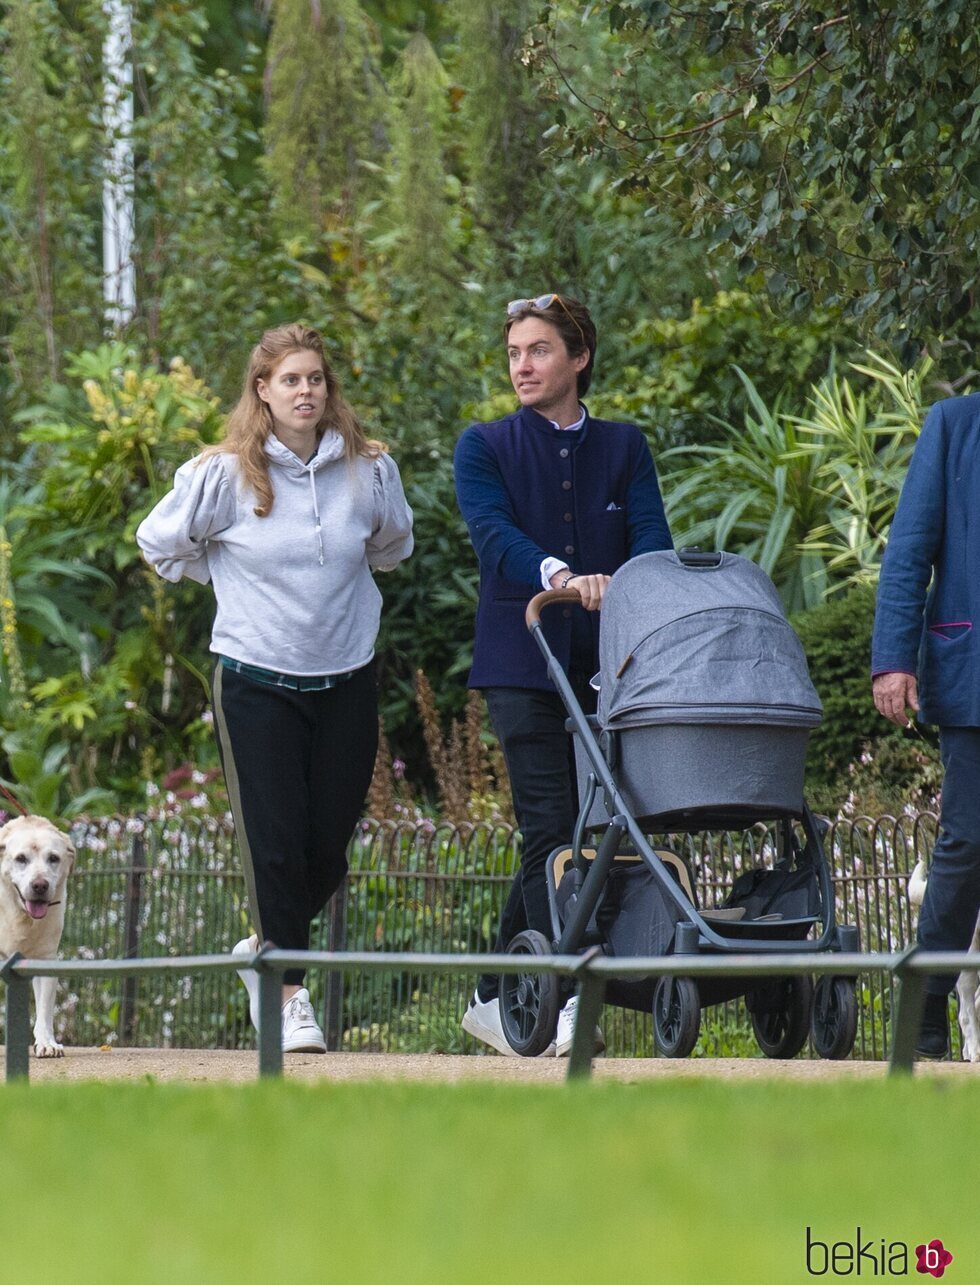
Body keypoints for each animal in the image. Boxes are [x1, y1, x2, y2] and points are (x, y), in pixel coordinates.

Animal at [0, 812, 75, 1053]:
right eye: (21, 858)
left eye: (53, 858)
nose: (40, 885)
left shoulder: (45, 958)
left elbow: (44, 1010)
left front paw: (46, 1043)